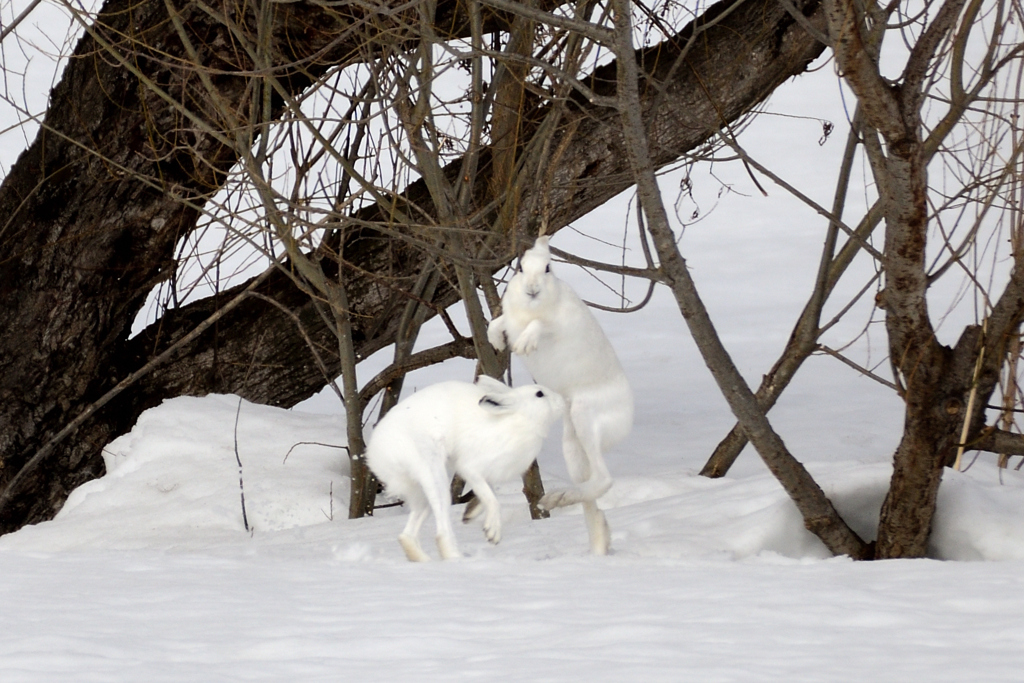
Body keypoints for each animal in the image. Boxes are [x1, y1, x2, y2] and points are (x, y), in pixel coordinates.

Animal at [366, 376, 565, 565]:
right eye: (539, 394)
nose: (561, 400)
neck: (518, 419)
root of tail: (374, 455)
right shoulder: (471, 468)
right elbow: (492, 499)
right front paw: (492, 532)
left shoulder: (489, 474)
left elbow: (489, 492)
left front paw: (470, 512)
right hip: (431, 470)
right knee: (441, 527)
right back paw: (456, 559)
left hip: (421, 490)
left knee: (407, 534)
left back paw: (422, 559)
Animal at [487, 235, 630, 557]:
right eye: (520, 268)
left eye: (548, 268)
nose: (532, 290)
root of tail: (627, 418)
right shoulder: (509, 318)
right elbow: (496, 323)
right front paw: (496, 341)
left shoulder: (554, 325)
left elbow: (540, 326)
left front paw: (524, 345)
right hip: (572, 443)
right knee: (590, 488)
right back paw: (594, 537)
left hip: (585, 414)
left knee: (604, 479)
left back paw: (558, 499)